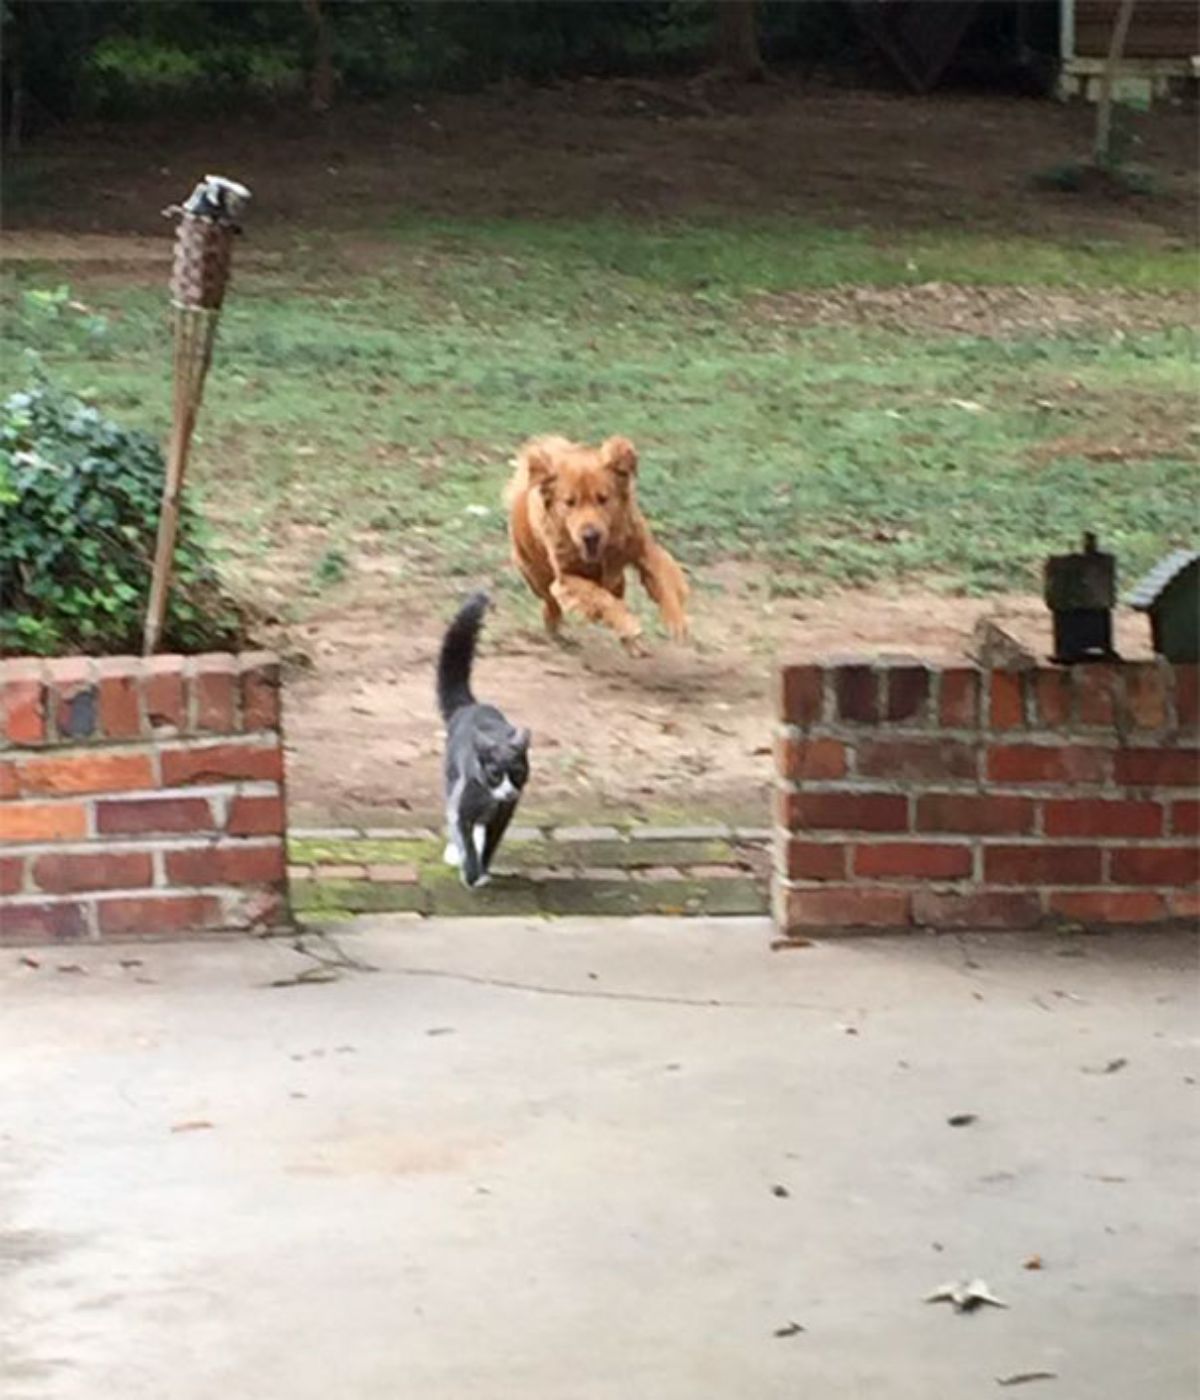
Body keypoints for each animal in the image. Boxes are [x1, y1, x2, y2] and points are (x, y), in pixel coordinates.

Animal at [434, 590, 529, 884]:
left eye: (518, 773)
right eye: (495, 774)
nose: (509, 791)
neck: (491, 800)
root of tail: (470, 705)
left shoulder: (502, 819)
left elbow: (489, 845)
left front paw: (483, 870)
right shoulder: (462, 810)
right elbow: (465, 839)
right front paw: (471, 872)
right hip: (451, 779)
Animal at [504, 434, 688, 652]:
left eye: (603, 498)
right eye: (570, 502)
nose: (590, 535)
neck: (603, 551)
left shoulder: (644, 549)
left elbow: (665, 580)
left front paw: (676, 621)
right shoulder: (566, 576)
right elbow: (598, 597)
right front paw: (629, 625)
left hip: (617, 580)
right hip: (536, 575)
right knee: (551, 602)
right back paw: (554, 628)